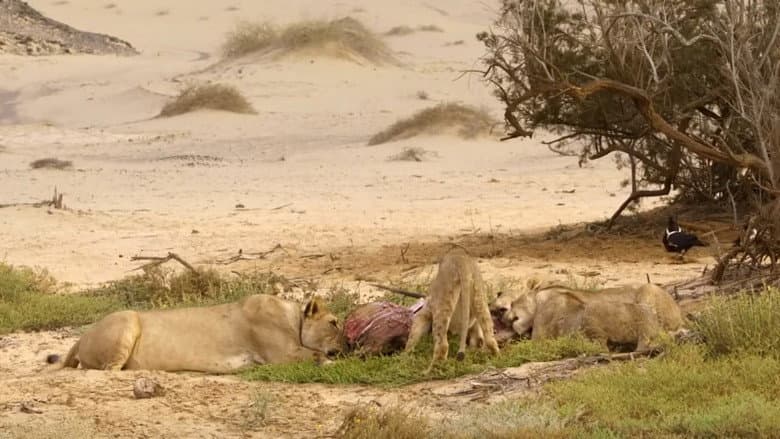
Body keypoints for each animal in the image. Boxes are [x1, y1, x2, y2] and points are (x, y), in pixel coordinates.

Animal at [47, 295, 344, 372]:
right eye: (334, 322)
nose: (350, 344)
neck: (293, 319)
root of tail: (81, 336)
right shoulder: (281, 355)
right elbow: (316, 355)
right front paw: (334, 361)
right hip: (127, 319)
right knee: (109, 370)